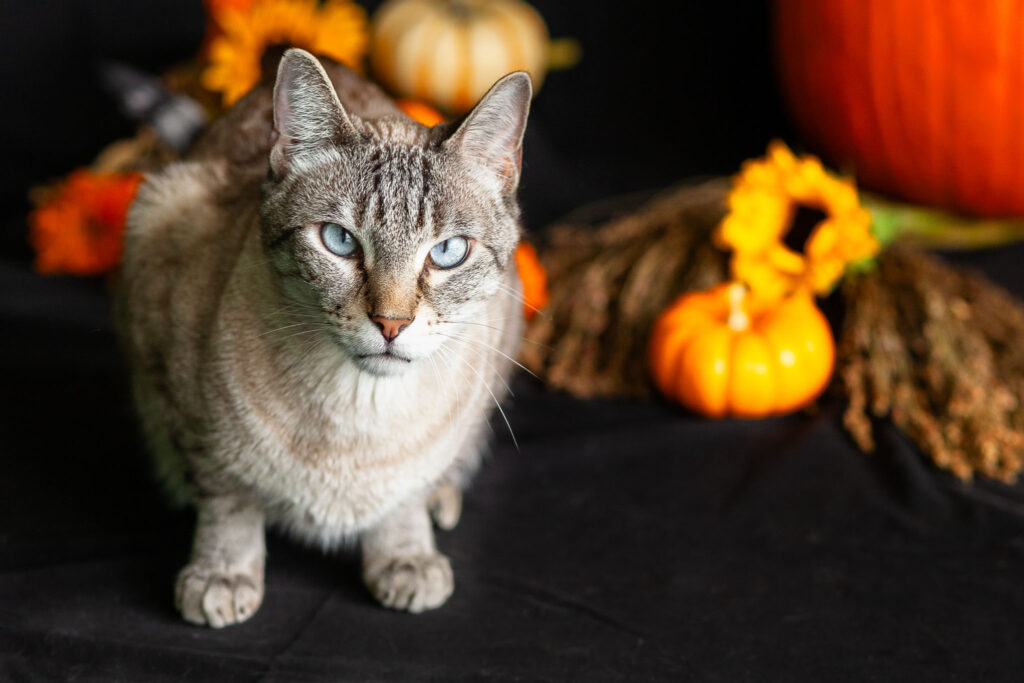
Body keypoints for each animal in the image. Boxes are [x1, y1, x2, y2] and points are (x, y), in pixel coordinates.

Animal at [118, 45, 532, 626]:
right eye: (340, 241)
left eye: (448, 252)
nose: (391, 323)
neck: (357, 414)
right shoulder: (186, 409)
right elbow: (228, 501)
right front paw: (223, 574)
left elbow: (407, 493)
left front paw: (406, 556)